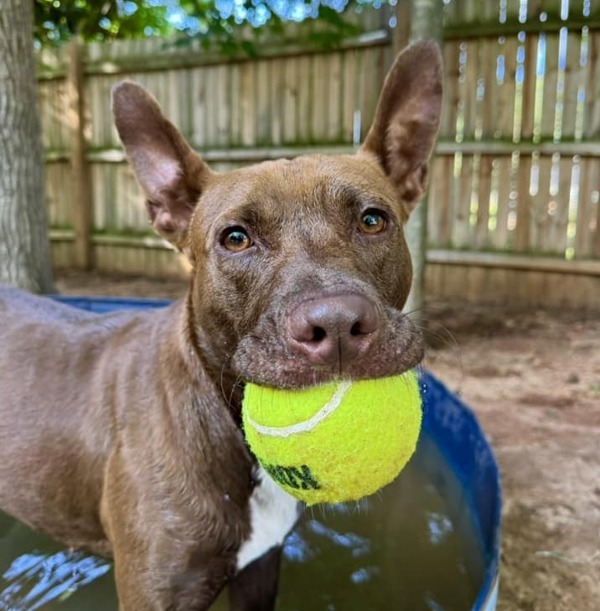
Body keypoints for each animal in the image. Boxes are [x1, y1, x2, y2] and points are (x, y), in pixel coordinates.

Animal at [0, 41, 440, 611]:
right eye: (235, 238)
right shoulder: (156, 592)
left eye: (372, 220)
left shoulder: (260, 570)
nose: (338, 324)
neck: (223, 416)